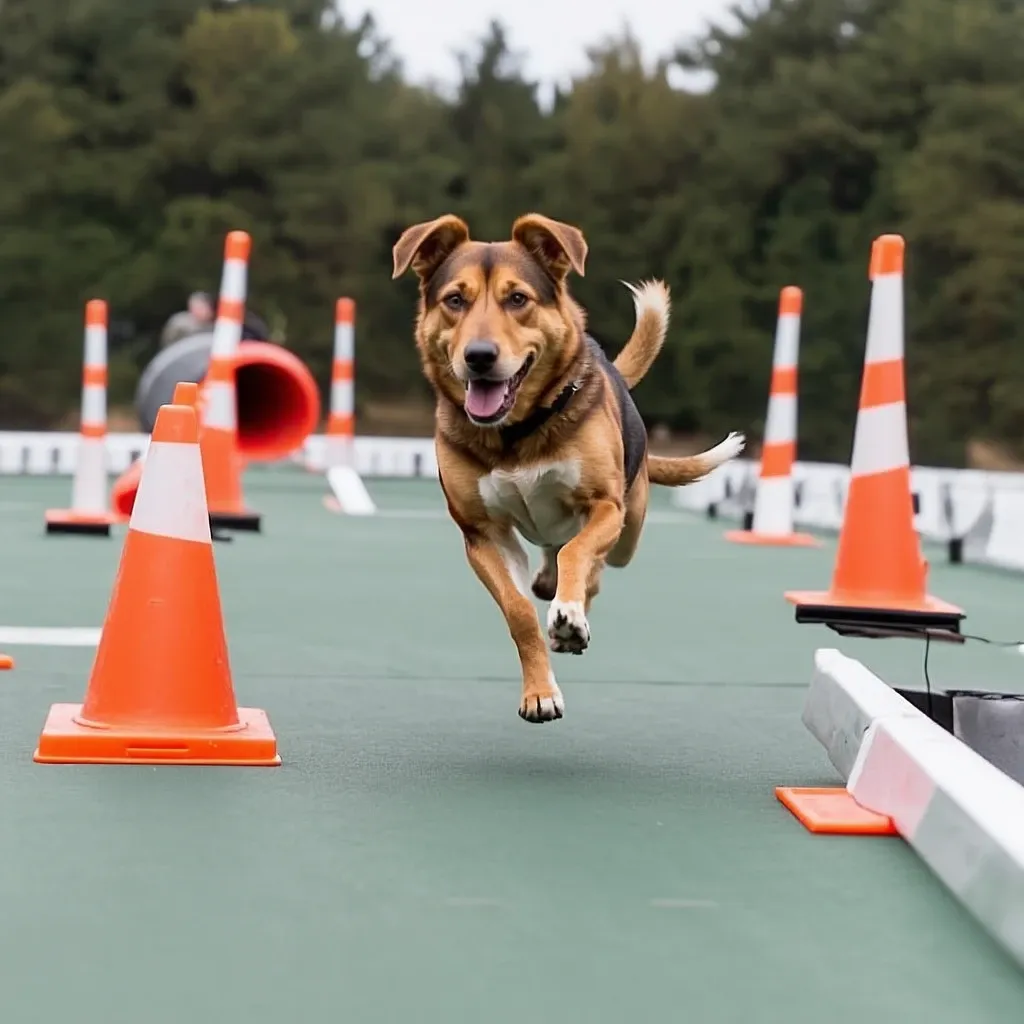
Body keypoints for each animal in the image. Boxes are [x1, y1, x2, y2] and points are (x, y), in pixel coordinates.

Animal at [391, 210, 745, 720]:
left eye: (518, 299)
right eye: (455, 300)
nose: (479, 357)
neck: (516, 433)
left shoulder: (603, 505)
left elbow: (578, 553)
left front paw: (569, 618)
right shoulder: (482, 533)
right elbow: (518, 611)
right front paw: (539, 692)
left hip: (629, 526)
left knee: (592, 561)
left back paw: (570, 613)